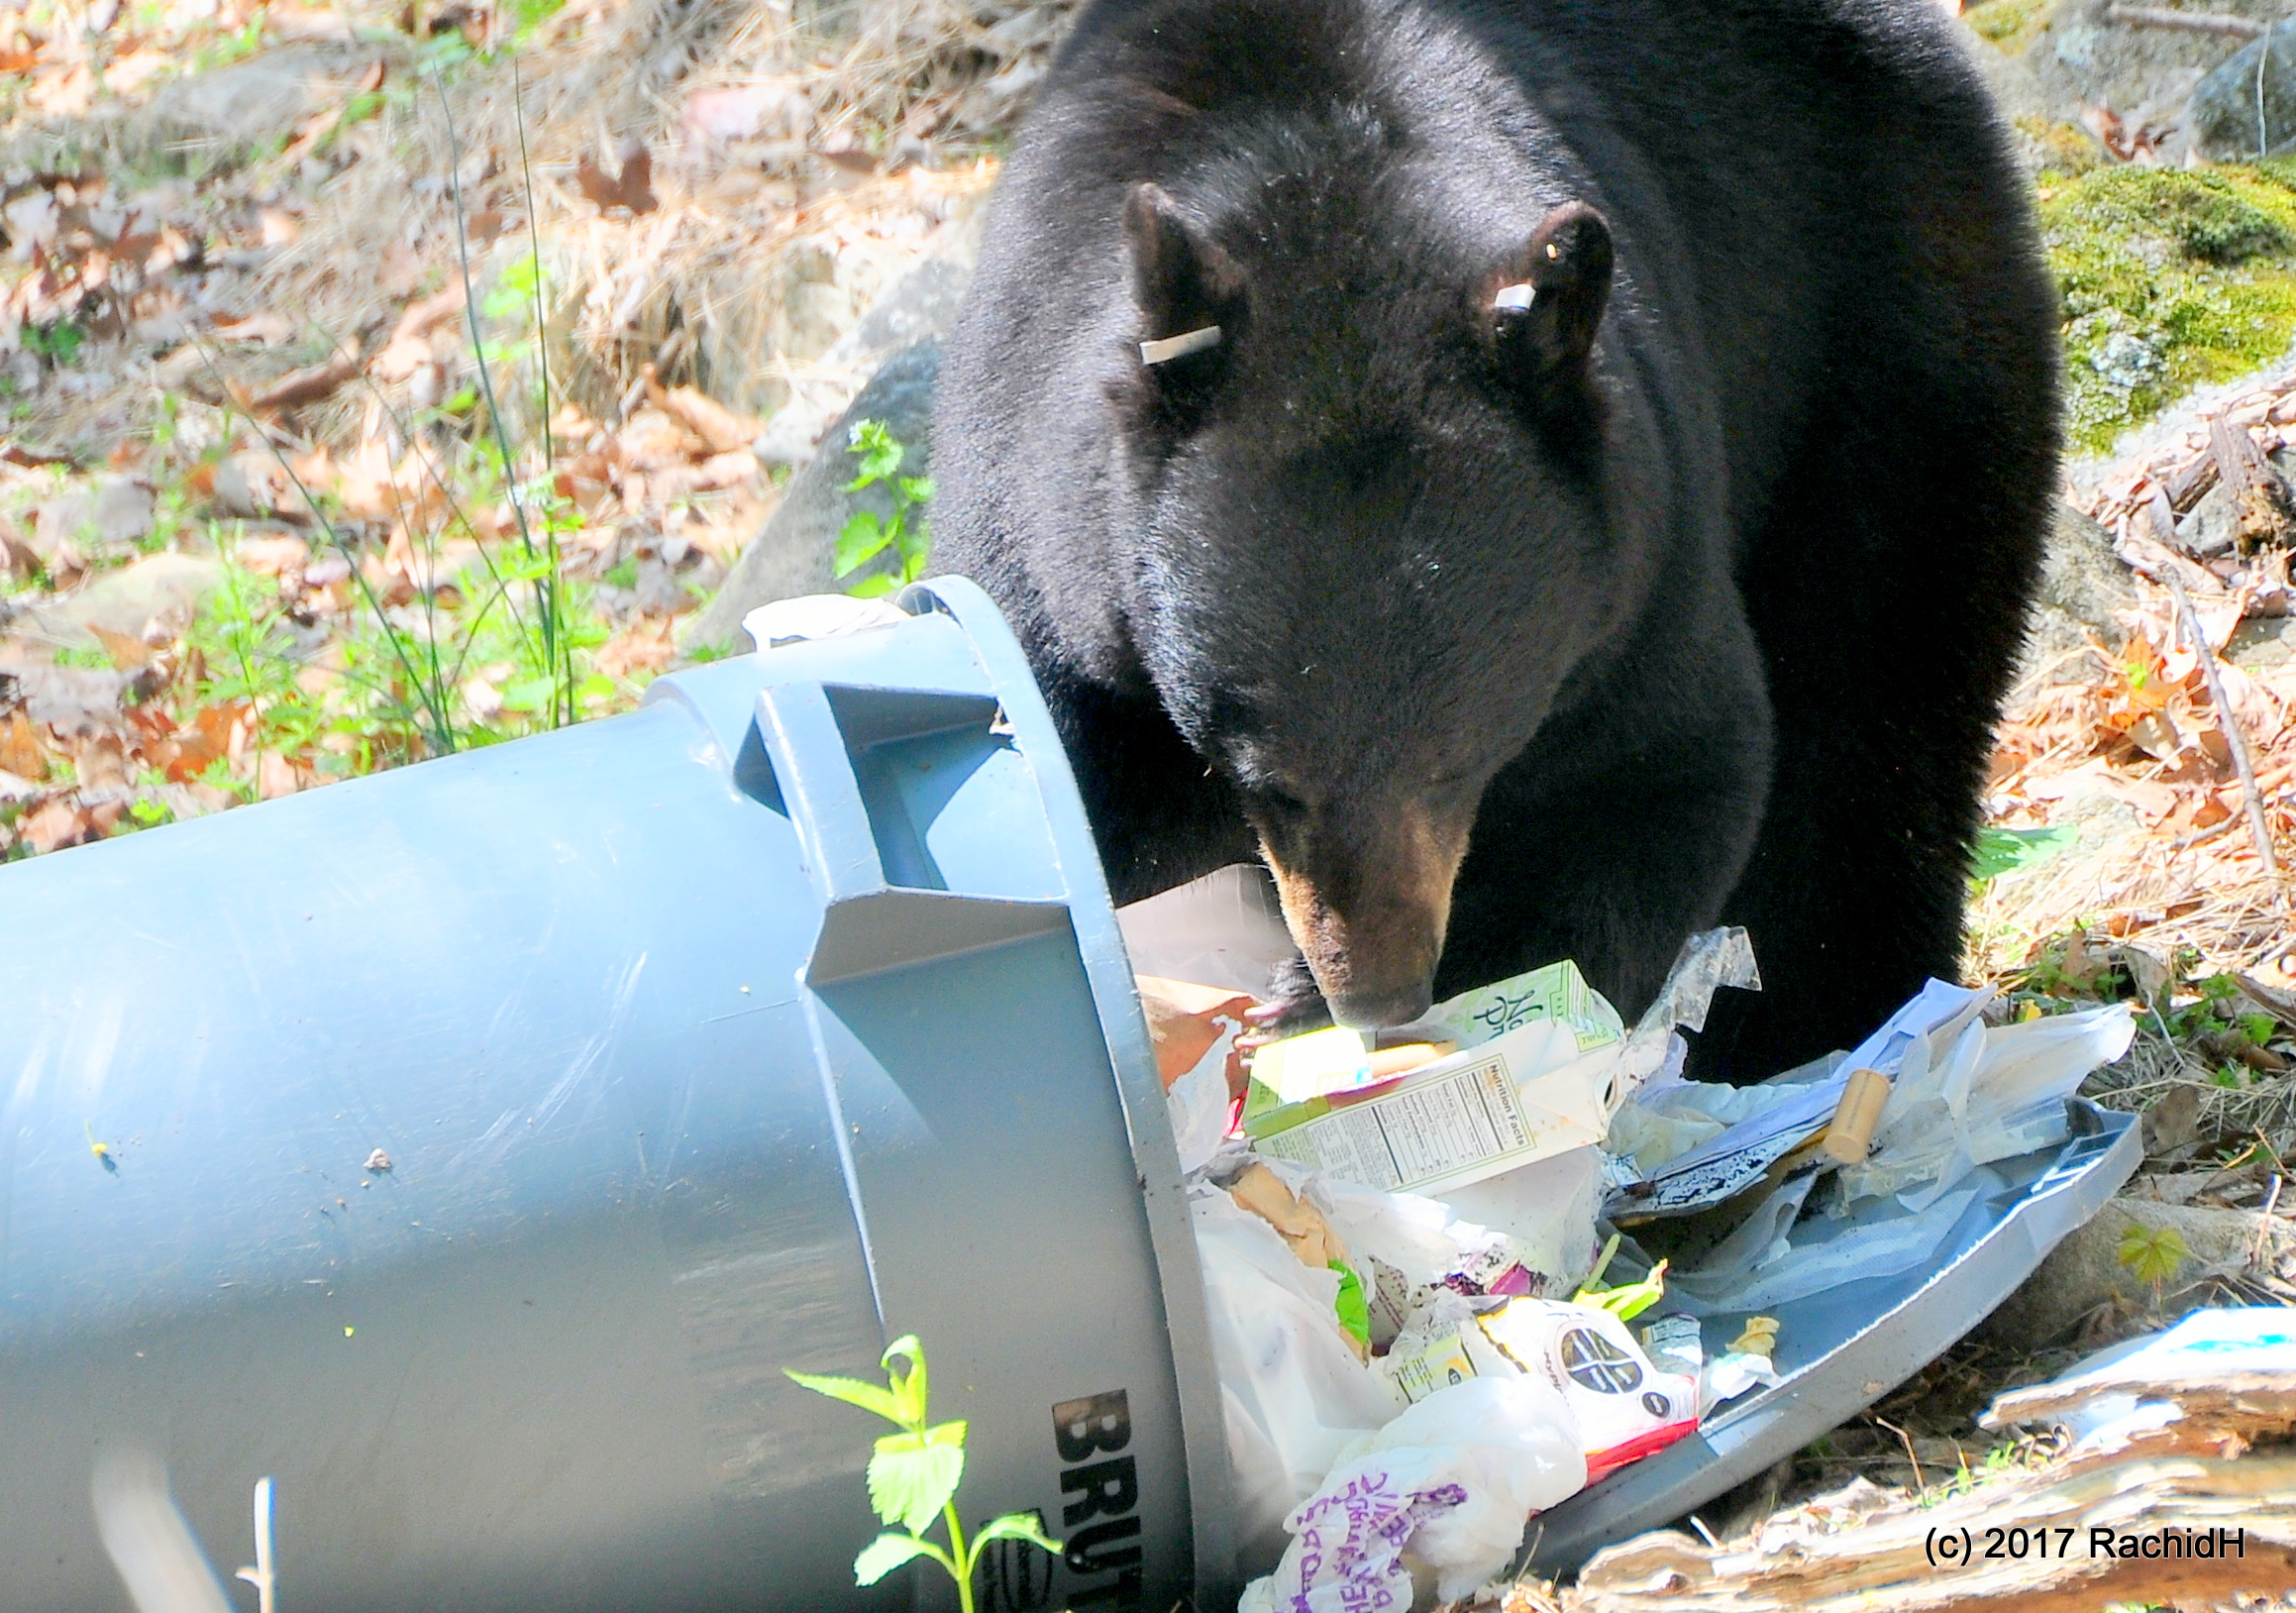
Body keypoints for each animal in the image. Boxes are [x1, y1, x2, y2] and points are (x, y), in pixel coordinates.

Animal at [932, 0, 2066, 1079]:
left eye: (1458, 763)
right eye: (1269, 783)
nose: (1377, 994)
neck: (1311, 185)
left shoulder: (1636, 563)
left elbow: (1653, 780)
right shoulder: (1042, 553)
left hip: (1886, 320)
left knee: (1875, 681)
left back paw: (1812, 1022)